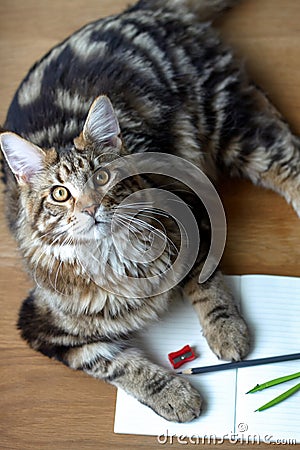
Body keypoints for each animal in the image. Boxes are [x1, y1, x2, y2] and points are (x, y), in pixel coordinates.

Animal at [1, 0, 298, 422]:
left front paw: (227, 332)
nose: (91, 208)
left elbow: (209, 286)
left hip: (230, 125)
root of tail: (136, 11)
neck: (115, 256)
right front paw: (174, 393)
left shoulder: (191, 209)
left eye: (102, 177)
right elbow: (118, 365)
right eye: (60, 194)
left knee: (289, 161)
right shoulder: (46, 326)